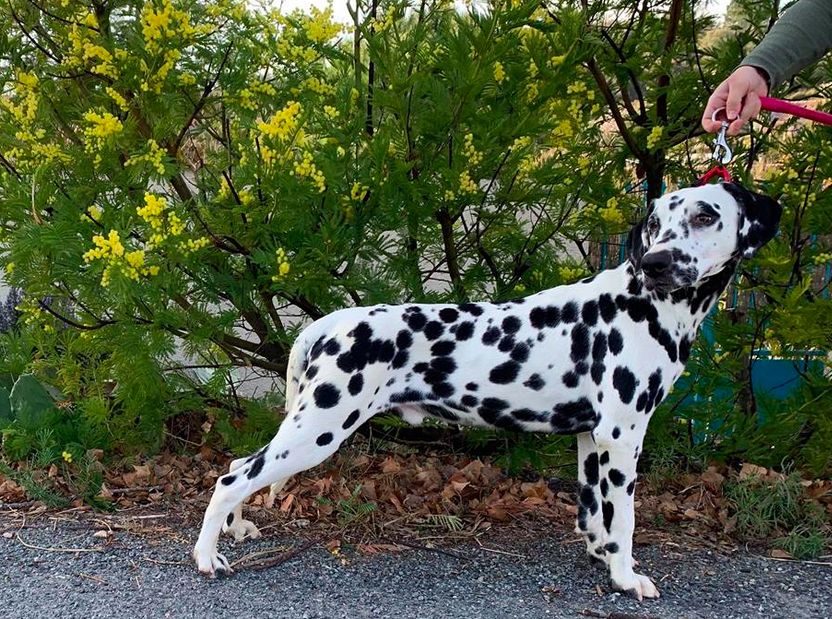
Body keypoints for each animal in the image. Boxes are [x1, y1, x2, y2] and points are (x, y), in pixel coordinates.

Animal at [193, 183, 780, 600]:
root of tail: (333, 321)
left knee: (242, 468)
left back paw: (236, 530)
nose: (656, 263)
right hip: (317, 431)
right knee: (231, 478)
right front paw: (625, 575)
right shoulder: (622, 437)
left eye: (705, 215)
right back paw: (206, 557)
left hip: (306, 429)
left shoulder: (592, 439)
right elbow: (627, 519)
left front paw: (601, 553)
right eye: (657, 223)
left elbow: (595, 511)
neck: (646, 304)